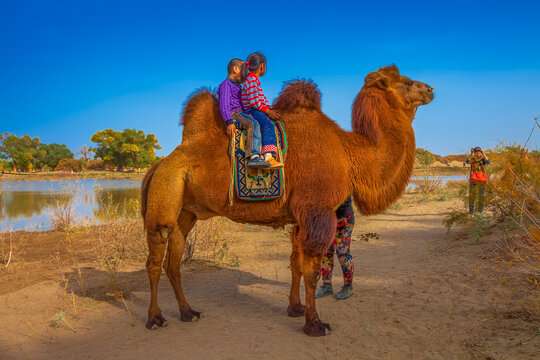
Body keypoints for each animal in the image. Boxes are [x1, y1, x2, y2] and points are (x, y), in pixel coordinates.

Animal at [140, 65, 434, 338]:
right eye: (408, 82)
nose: (430, 89)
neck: (348, 152)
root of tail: (159, 164)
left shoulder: (301, 217)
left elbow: (295, 265)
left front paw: (295, 309)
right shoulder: (317, 211)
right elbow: (312, 272)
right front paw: (315, 324)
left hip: (186, 211)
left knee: (173, 260)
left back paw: (188, 312)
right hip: (165, 194)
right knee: (155, 258)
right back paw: (155, 318)